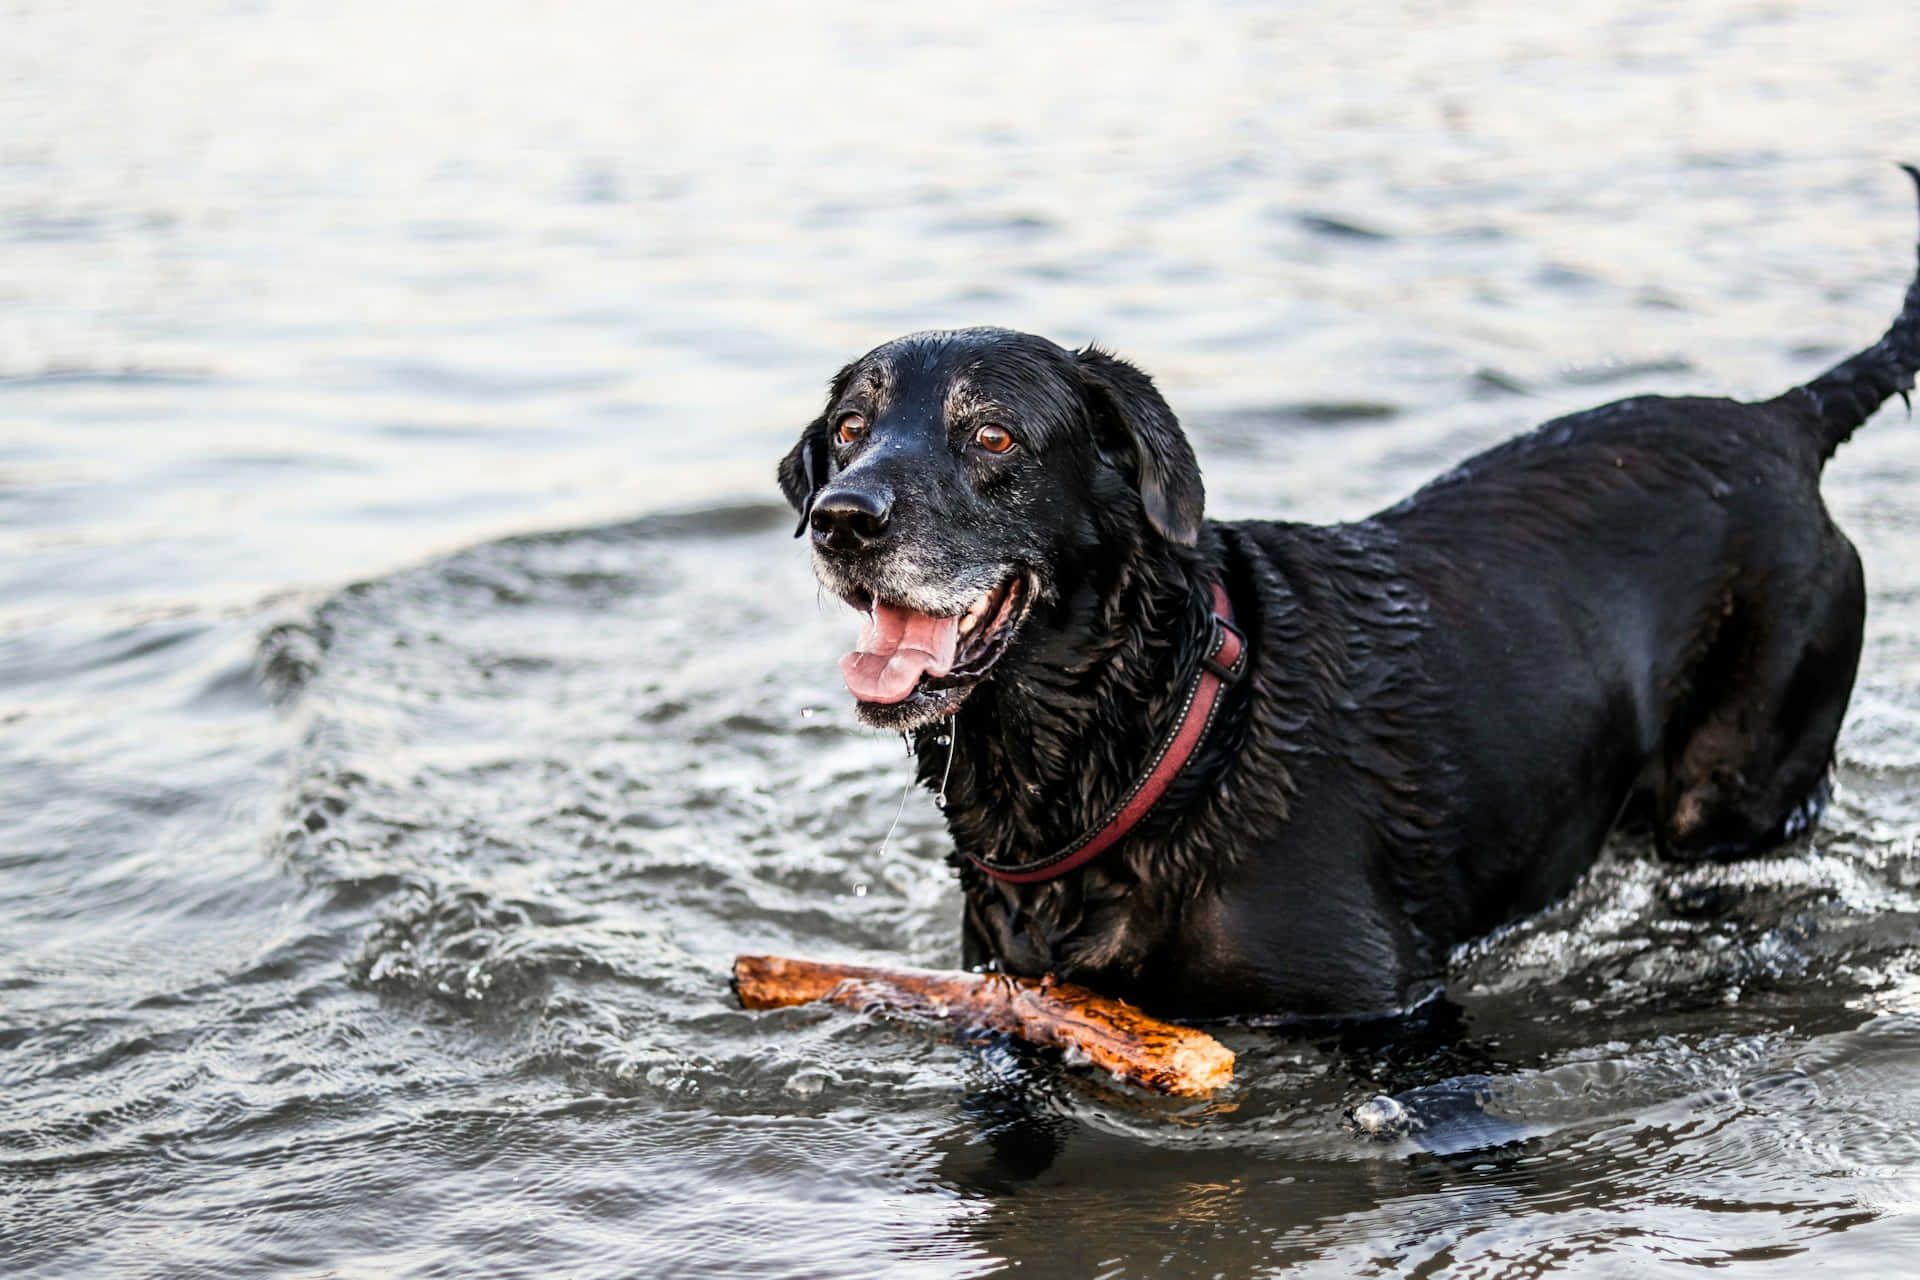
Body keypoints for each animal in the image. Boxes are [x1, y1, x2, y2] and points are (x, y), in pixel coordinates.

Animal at [775, 172, 1920, 1020]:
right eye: (848, 429)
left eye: (994, 437)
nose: (842, 519)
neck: (1155, 732)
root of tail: (1781, 421)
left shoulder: (1391, 1006)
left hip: (1740, 783)